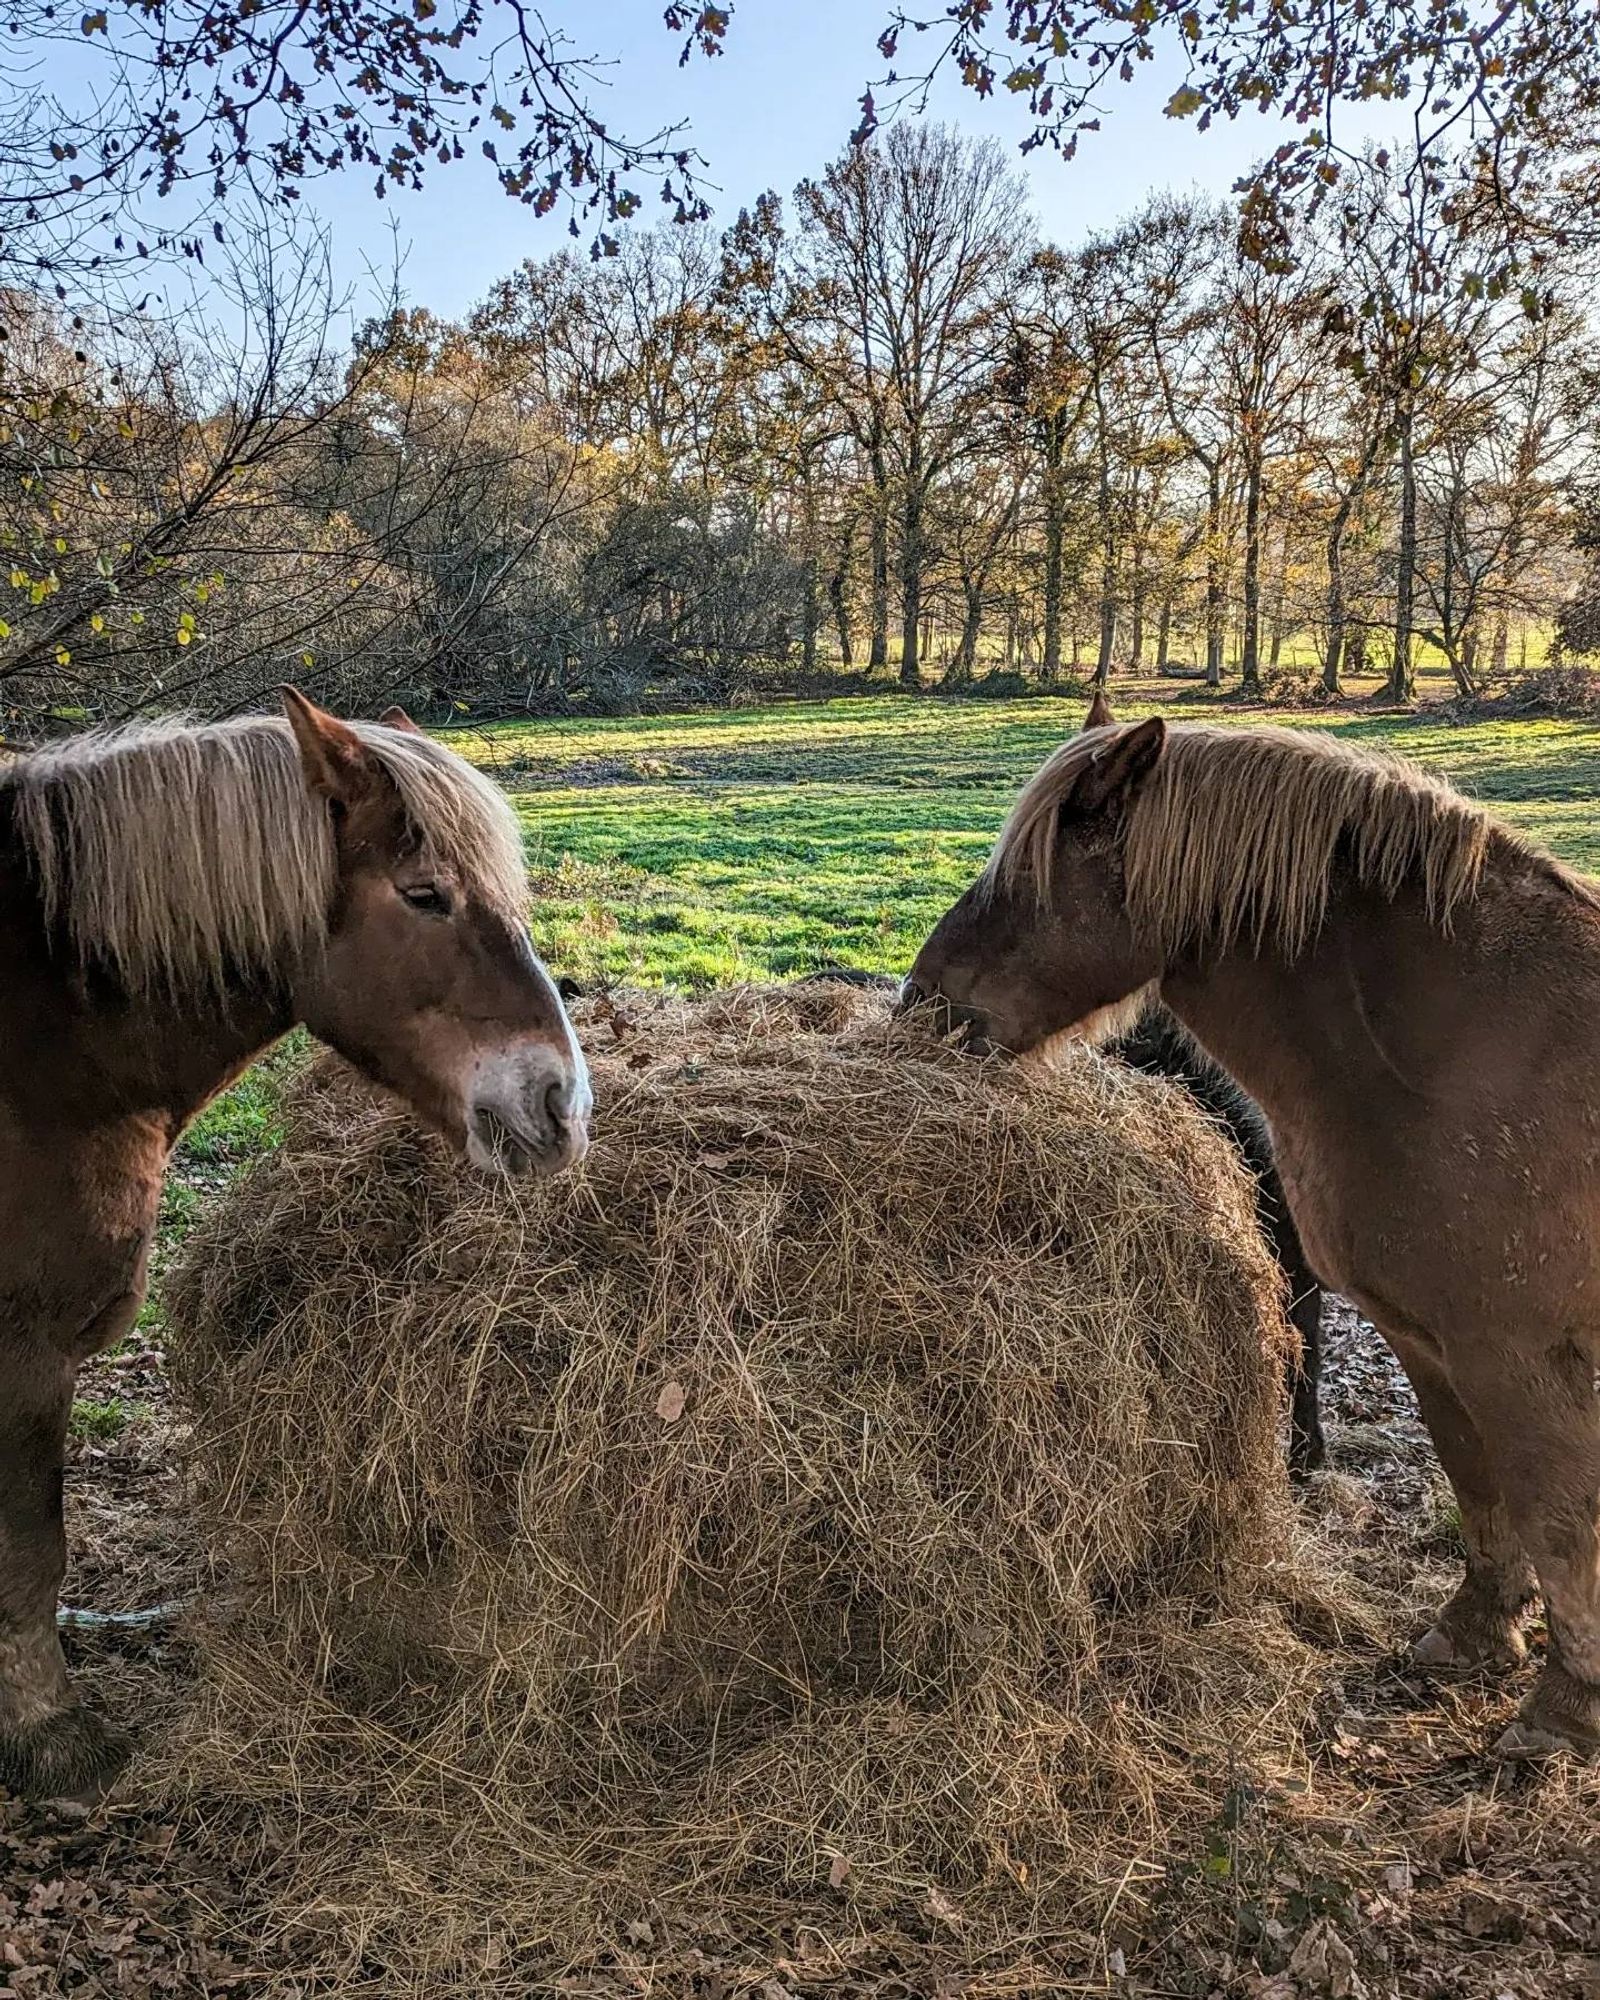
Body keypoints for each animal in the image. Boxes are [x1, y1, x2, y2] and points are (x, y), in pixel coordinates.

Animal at [0, 688, 592, 1800]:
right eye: (424, 894)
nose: (563, 1107)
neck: (42, 1049)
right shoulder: (25, 1354)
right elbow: (29, 1549)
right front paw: (49, 1731)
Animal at [908, 712, 1600, 1760]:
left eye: (1029, 876)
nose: (921, 1005)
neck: (1467, 1054)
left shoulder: (1514, 1352)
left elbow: (1558, 1516)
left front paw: (1566, 1708)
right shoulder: (1428, 1342)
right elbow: (1477, 1483)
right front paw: (1477, 1632)